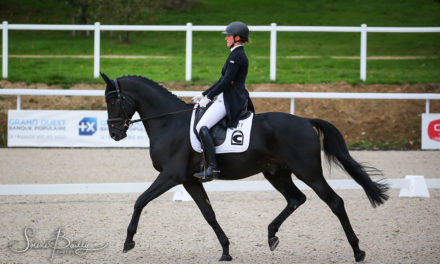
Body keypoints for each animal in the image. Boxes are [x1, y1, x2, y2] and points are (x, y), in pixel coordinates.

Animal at [100, 72, 388, 262]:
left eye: (112, 101)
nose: (115, 134)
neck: (169, 123)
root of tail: (306, 120)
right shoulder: (189, 180)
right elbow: (209, 214)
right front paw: (226, 251)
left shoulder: (171, 175)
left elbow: (140, 200)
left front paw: (128, 241)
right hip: (276, 173)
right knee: (296, 198)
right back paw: (271, 236)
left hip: (308, 171)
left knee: (335, 202)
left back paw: (358, 251)